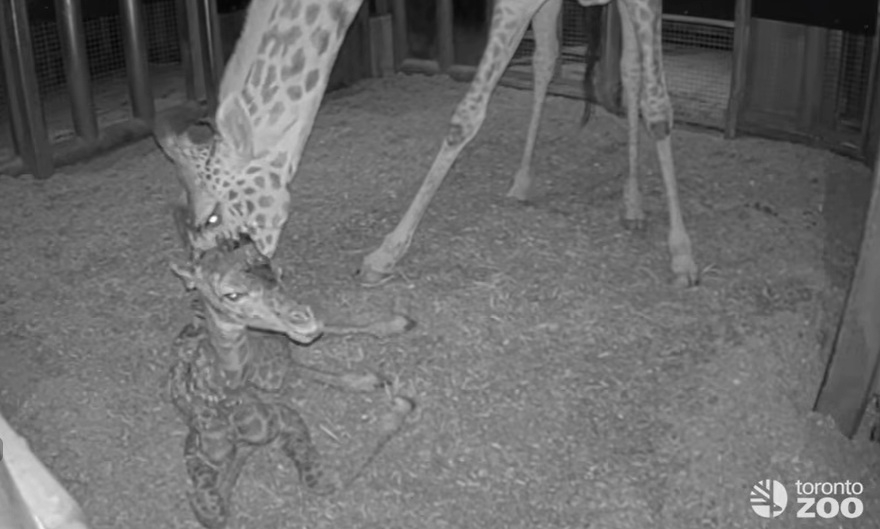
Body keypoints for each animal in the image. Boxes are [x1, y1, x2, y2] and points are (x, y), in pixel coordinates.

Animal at [155, 0, 697, 287]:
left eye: (211, 217)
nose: (202, 278)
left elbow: (464, 118)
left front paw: (385, 254)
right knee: (565, 62)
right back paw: (547, 186)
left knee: (646, 87)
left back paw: (650, 220)